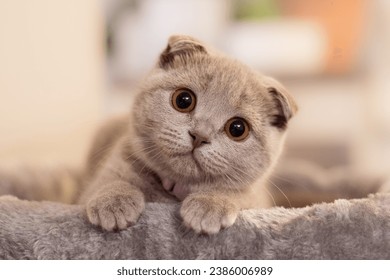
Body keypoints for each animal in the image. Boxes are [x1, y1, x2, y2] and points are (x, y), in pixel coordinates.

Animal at [79, 34, 298, 234]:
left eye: (237, 128)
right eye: (183, 100)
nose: (199, 135)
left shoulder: (257, 197)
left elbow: (238, 193)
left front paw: (210, 204)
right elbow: (108, 180)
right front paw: (113, 200)